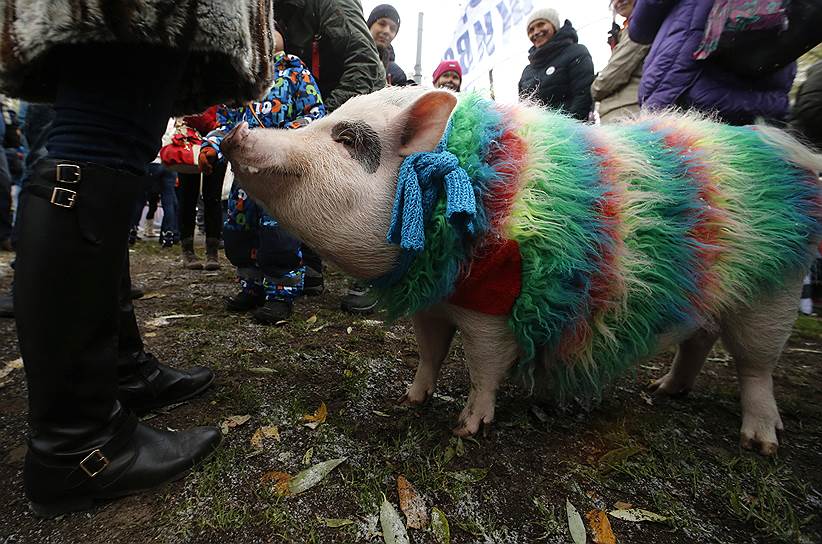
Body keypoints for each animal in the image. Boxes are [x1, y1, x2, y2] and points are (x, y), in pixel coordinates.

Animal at [220, 88, 822, 454]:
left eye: (347, 137)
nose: (234, 133)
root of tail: (793, 156)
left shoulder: (495, 307)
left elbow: (484, 365)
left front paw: (466, 427)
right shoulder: (436, 302)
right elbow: (429, 351)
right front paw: (410, 399)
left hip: (775, 290)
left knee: (756, 366)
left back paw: (761, 442)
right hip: (712, 294)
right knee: (698, 339)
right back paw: (663, 390)